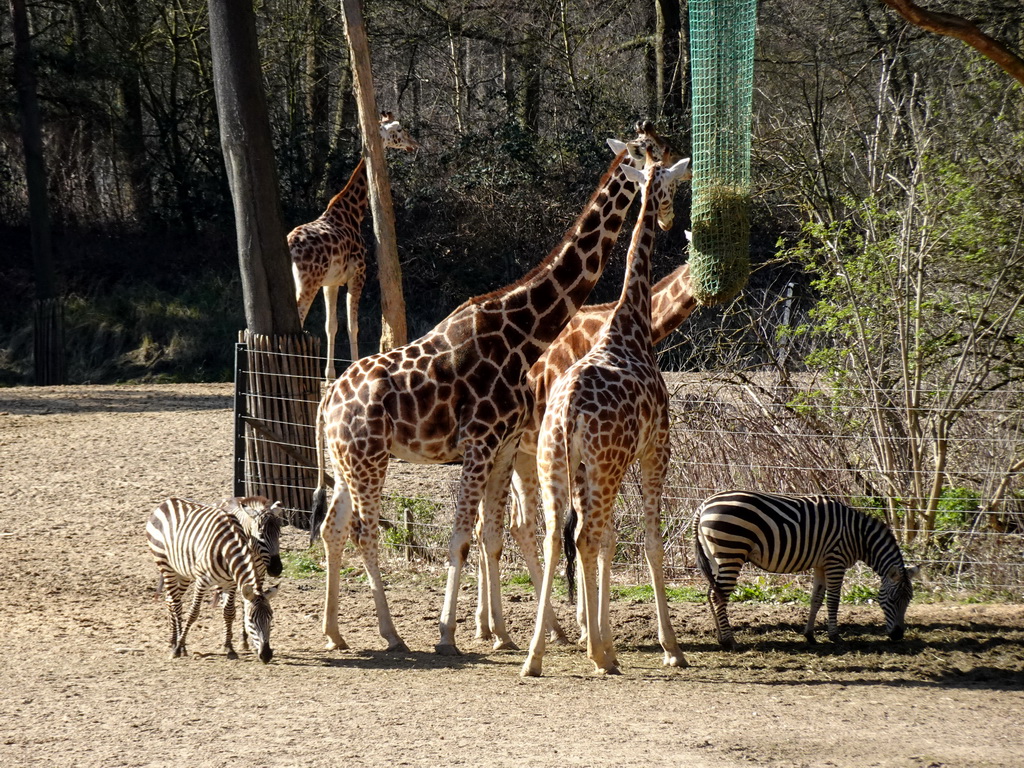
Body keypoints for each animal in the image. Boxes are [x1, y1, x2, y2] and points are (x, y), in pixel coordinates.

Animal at [146, 499, 278, 663]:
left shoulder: (231, 583)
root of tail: (167, 501)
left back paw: (173, 640)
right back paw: (178, 646)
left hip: (182, 572)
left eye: (271, 618)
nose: (266, 655)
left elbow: (229, 612)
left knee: (169, 599)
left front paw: (229, 648)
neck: (227, 551)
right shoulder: (202, 581)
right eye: (251, 620)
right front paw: (178, 647)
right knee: (176, 605)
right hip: (165, 565)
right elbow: (194, 612)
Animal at [288, 112, 419, 380]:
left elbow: (331, 325)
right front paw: (354, 366)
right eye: (399, 129)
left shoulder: (331, 283)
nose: (415, 144)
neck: (352, 213)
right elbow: (352, 325)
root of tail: (290, 246)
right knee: (299, 317)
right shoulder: (358, 274)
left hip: (303, 281)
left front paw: (329, 375)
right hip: (308, 281)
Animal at [303, 124, 671, 655]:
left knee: (333, 528)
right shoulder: (480, 444)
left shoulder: (502, 448)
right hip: (368, 459)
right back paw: (392, 634)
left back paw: (334, 633)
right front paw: (448, 634)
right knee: (363, 532)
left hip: (345, 460)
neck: (522, 332)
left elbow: (492, 536)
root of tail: (328, 400)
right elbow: (462, 537)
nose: (667, 211)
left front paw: (502, 633)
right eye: (655, 153)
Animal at [520, 153, 688, 675]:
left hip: (553, 463)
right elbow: (649, 540)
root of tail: (568, 410)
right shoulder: (656, 448)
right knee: (586, 538)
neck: (630, 324)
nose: (669, 218)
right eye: (673, 186)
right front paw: (670, 646)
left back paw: (535, 656)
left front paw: (604, 636)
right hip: (603, 464)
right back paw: (598, 653)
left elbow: (609, 541)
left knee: (557, 537)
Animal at [692, 493, 917, 651]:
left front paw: (810, 635)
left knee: (711, 594)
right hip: (732, 552)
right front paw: (835, 636)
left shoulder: (821, 564)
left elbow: (816, 598)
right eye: (893, 599)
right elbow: (833, 600)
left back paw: (721, 638)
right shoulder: (835, 561)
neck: (859, 537)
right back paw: (730, 641)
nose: (898, 635)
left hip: (716, 557)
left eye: (909, 601)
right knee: (719, 596)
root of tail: (703, 506)